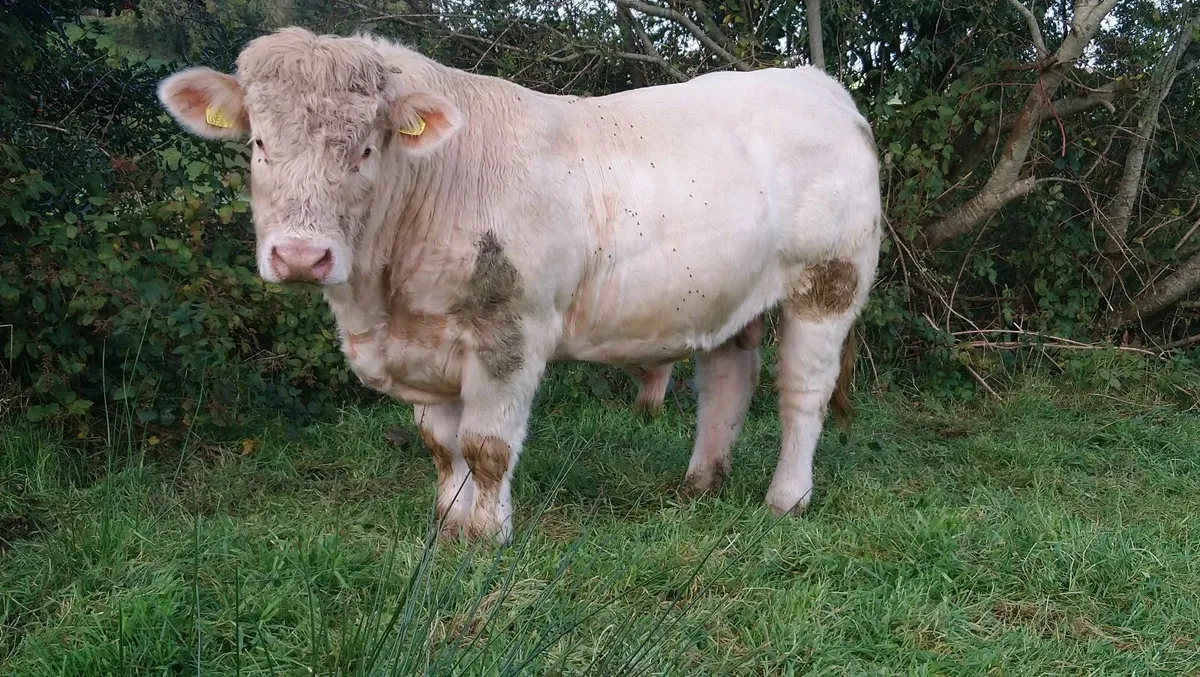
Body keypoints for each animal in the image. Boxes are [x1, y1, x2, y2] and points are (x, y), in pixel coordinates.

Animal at [157, 26, 881, 544]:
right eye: (258, 143)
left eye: (366, 149)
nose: (302, 256)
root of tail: (817, 84)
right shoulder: (423, 345)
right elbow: (442, 447)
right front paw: (448, 525)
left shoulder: (509, 329)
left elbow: (486, 447)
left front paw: (485, 536)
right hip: (728, 292)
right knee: (729, 378)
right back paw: (699, 485)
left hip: (829, 281)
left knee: (803, 393)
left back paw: (787, 499)